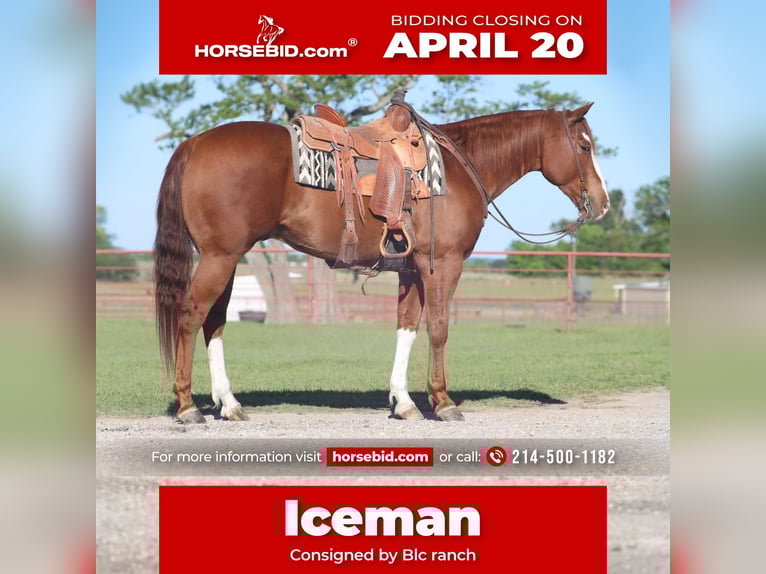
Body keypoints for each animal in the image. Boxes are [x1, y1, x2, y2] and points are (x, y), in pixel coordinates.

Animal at [153, 102, 610, 424]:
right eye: (584, 146)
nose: (603, 203)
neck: (458, 168)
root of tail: (195, 142)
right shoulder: (442, 266)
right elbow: (439, 328)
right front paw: (442, 402)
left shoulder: (411, 270)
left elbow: (406, 328)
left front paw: (404, 402)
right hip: (219, 257)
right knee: (190, 316)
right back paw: (188, 406)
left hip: (228, 259)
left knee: (214, 323)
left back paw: (229, 404)